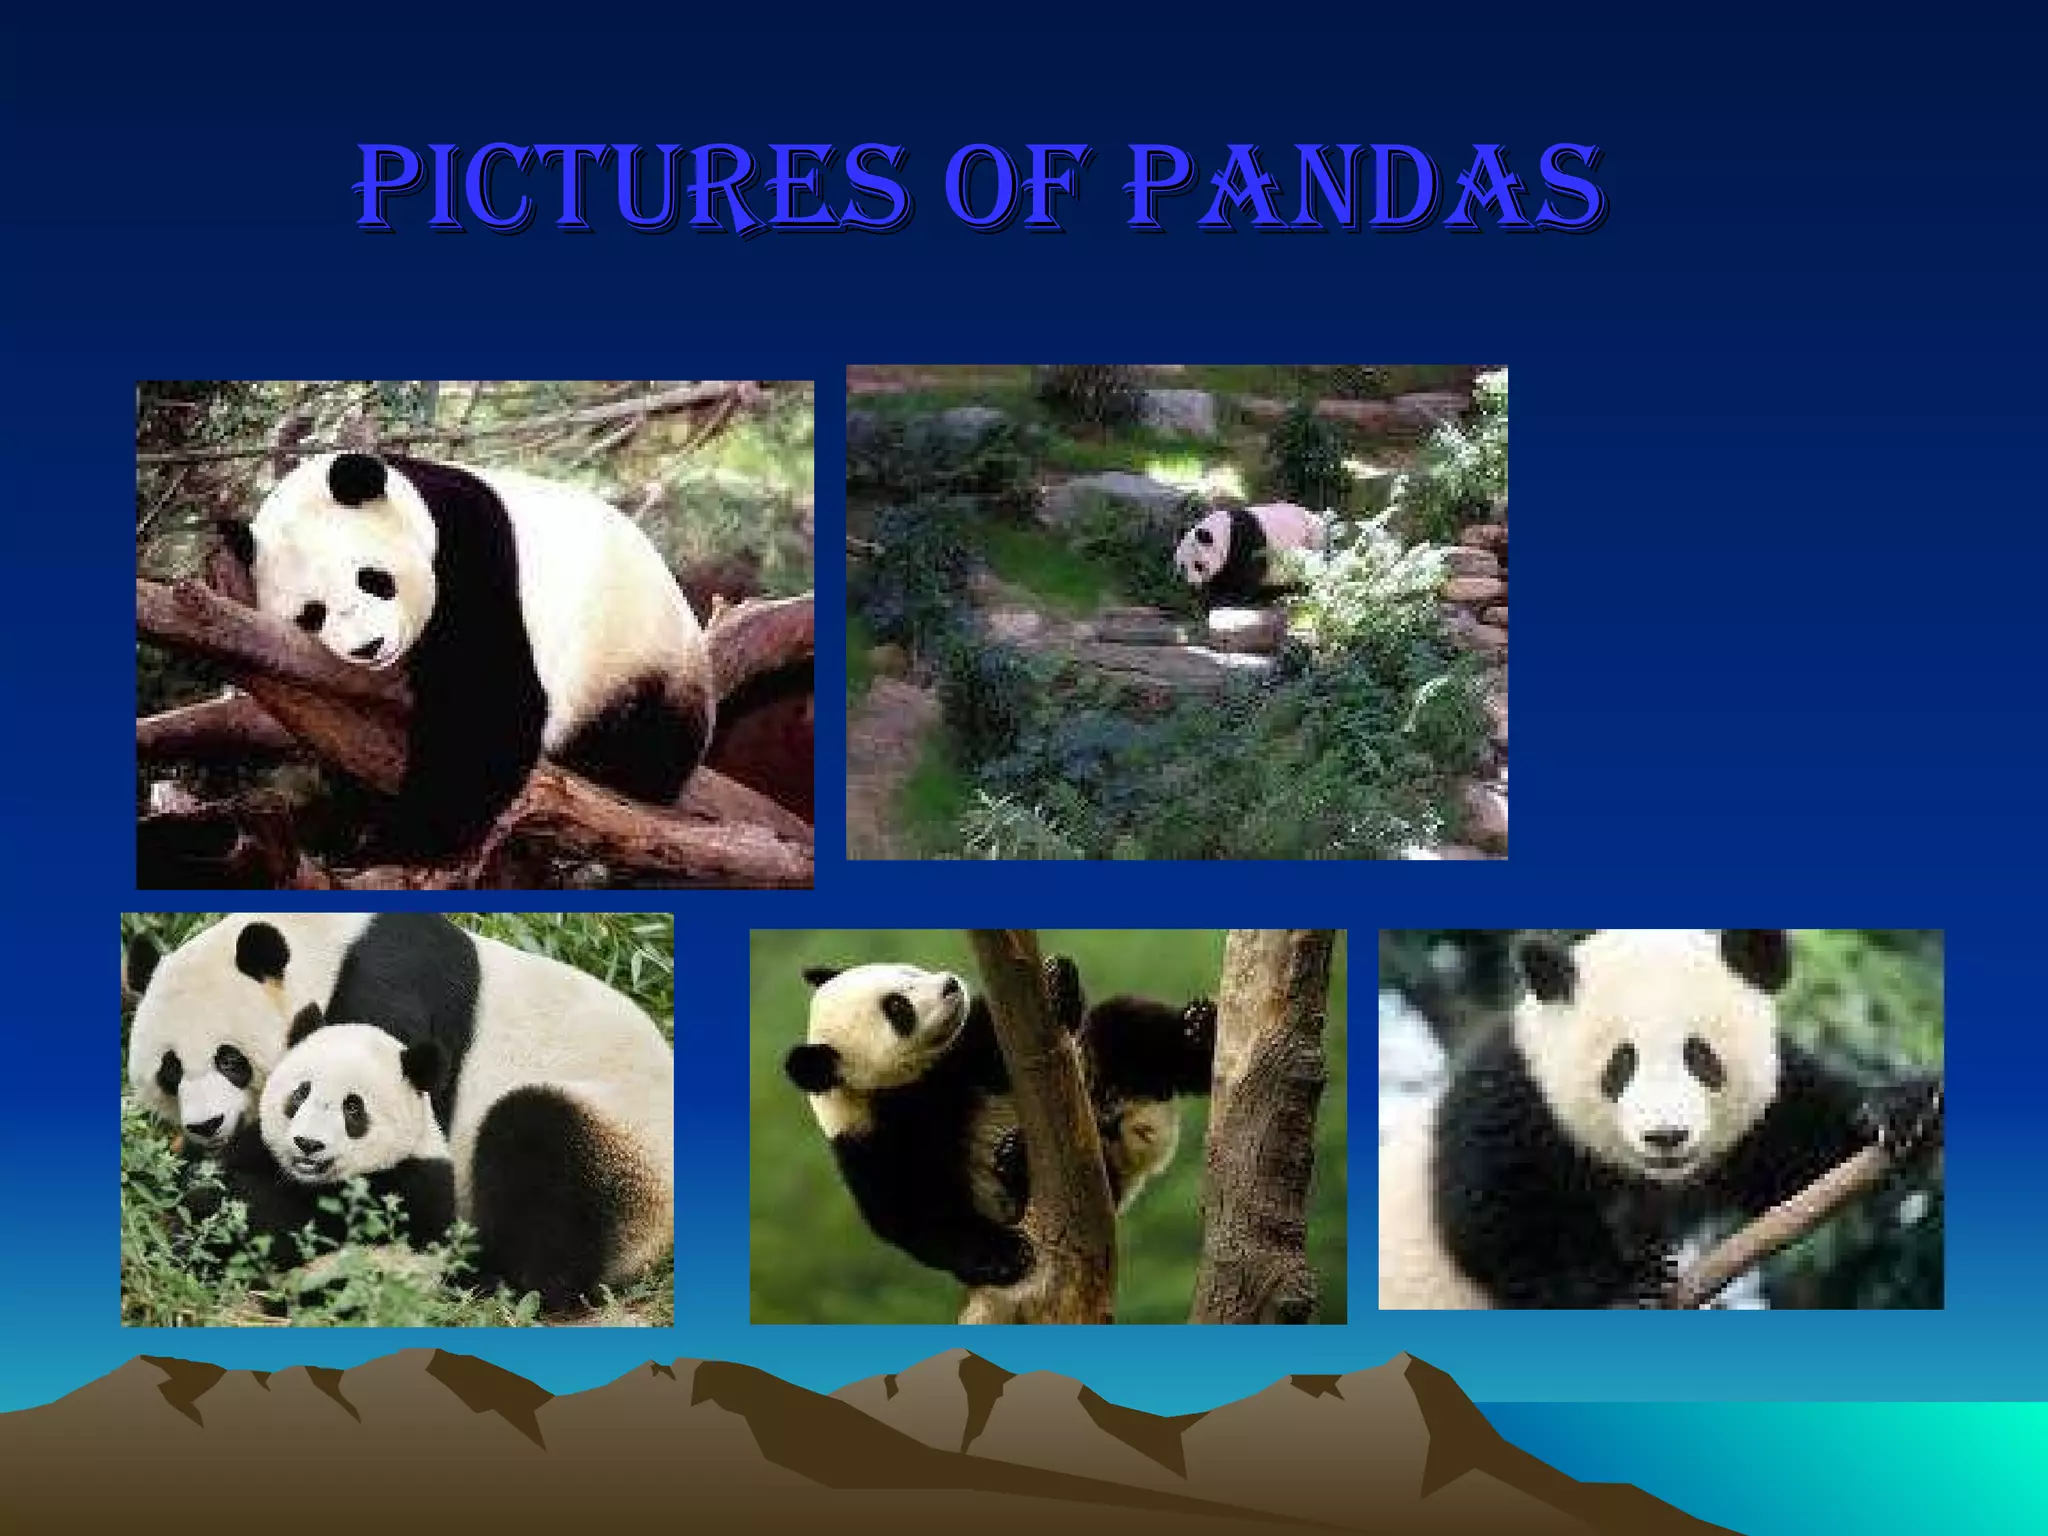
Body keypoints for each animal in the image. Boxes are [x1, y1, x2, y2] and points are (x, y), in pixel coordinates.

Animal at [190, 912, 674, 1311]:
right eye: (174, 1067)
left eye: (229, 1060)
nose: (203, 1126)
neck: (331, 942)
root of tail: (654, 1246)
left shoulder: (399, 981)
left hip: (620, 1148)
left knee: (535, 1144)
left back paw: (493, 1280)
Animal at [222, 450, 715, 857]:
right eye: (312, 613)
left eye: (372, 579)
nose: (369, 647)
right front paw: (354, 822)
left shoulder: (471, 552)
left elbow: (485, 703)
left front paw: (402, 840)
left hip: (638, 651)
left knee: (650, 740)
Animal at [783, 954, 1215, 1287]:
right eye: (898, 1009)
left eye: (907, 972)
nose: (950, 986)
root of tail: (1132, 1131)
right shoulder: (872, 1140)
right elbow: (917, 1215)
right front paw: (1006, 1255)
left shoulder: (966, 1049)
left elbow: (1004, 1046)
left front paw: (1060, 984)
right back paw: (1016, 1160)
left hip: (1100, 1061)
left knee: (1129, 1025)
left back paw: (1199, 1032)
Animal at [1171, 502, 1327, 608]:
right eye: (1183, 566)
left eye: (1199, 565)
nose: (1192, 585)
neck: (1225, 529)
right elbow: (1223, 574)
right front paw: (1213, 594)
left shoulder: (1245, 539)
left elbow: (1250, 571)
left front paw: (1232, 597)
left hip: (1311, 539)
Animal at [1378, 929, 1944, 1309]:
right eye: (1620, 1064)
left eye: (1701, 1057)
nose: (1666, 1136)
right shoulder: (1516, 1097)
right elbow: (1497, 1219)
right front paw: (1629, 1283)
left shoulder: (1765, 1114)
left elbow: (1804, 1156)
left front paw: (1900, 1111)